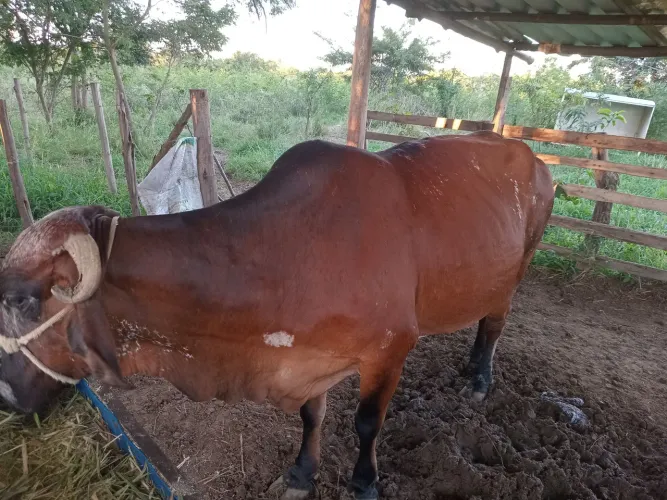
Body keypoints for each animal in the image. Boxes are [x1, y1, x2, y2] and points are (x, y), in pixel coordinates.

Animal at [0, 131, 553, 499]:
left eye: (25, 300)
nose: (4, 394)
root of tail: (531, 154)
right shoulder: (310, 358)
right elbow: (312, 416)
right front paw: (302, 474)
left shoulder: (390, 350)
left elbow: (367, 423)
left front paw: (364, 482)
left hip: (519, 268)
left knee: (494, 324)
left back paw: (479, 378)